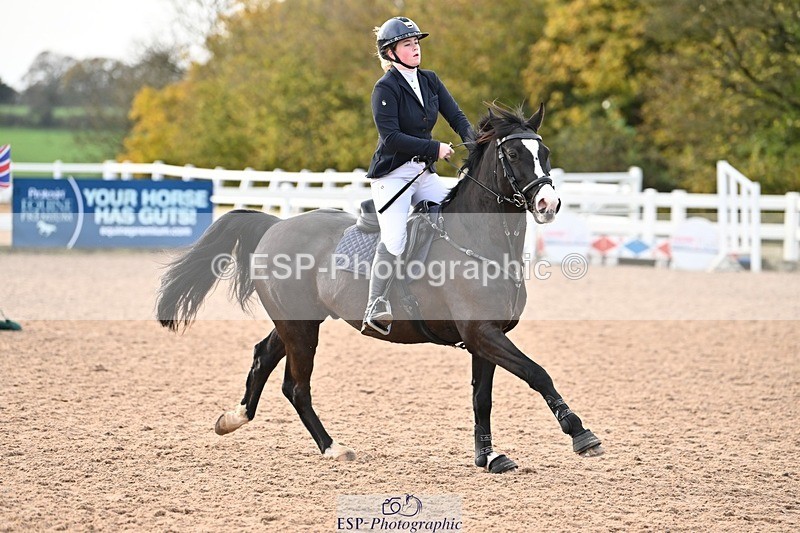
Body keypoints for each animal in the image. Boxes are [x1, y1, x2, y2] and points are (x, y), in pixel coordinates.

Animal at [157, 103, 604, 474]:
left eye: (544, 154)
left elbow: (483, 398)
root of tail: (276, 225)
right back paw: (332, 447)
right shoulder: (483, 333)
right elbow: (537, 373)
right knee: (297, 386)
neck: (479, 240)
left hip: (298, 320)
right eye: (512, 155)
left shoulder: (485, 337)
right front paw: (581, 434)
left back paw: (233, 419)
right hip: (301, 327)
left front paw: (489, 456)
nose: (548, 204)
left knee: (264, 356)